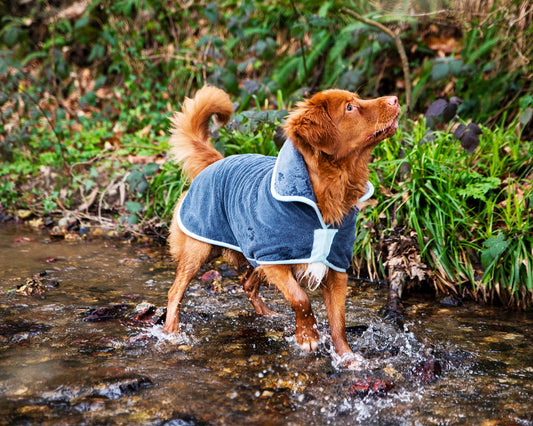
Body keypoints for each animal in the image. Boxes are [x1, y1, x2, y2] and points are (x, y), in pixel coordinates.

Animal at [164, 85, 396, 366]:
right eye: (350, 107)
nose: (395, 99)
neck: (328, 190)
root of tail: (216, 161)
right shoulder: (274, 258)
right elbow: (301, 298)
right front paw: (307, 336)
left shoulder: (335, 265)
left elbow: (338, 321)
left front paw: (347, 357)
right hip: (199, 248)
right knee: (175, 290)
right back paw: (170, 332)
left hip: (252, 252)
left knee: (247, 283)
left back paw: (268, 315)